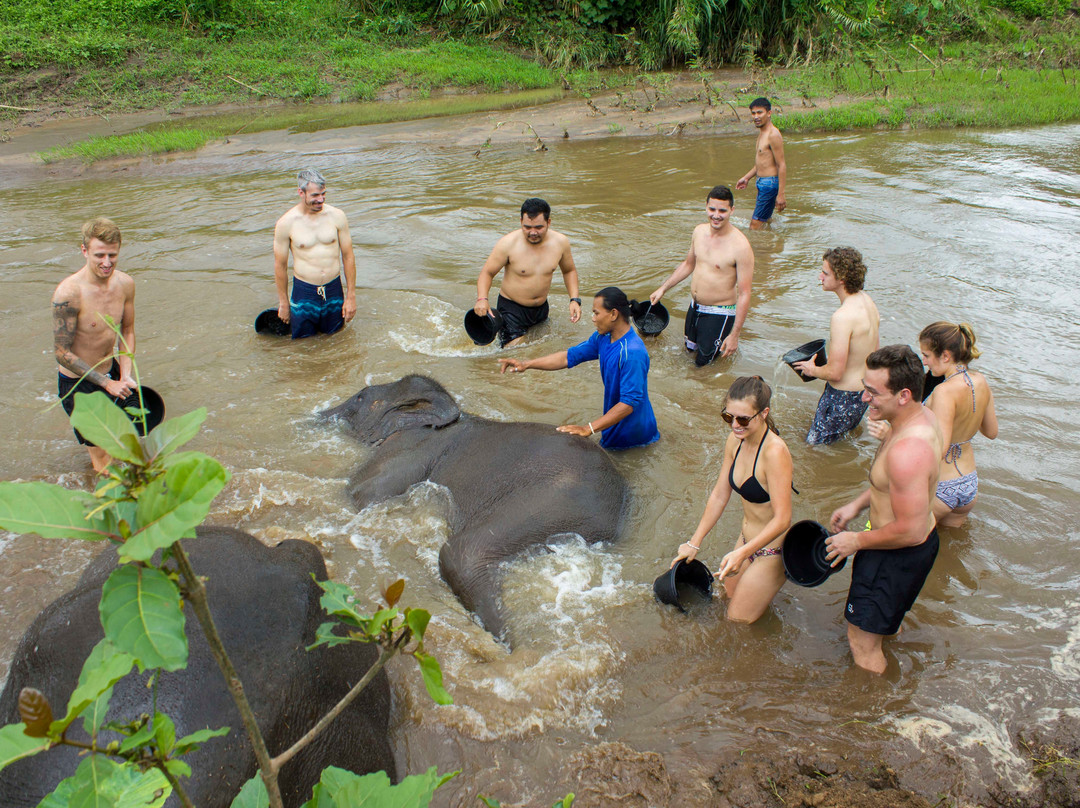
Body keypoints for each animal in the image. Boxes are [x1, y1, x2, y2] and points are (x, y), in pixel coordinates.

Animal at [319, 371, 630, 643]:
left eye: (360, 397)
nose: (317, 416)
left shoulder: (414, 447)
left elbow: (361, 494)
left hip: (558, 498)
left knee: (461, 553)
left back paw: (508, 642)